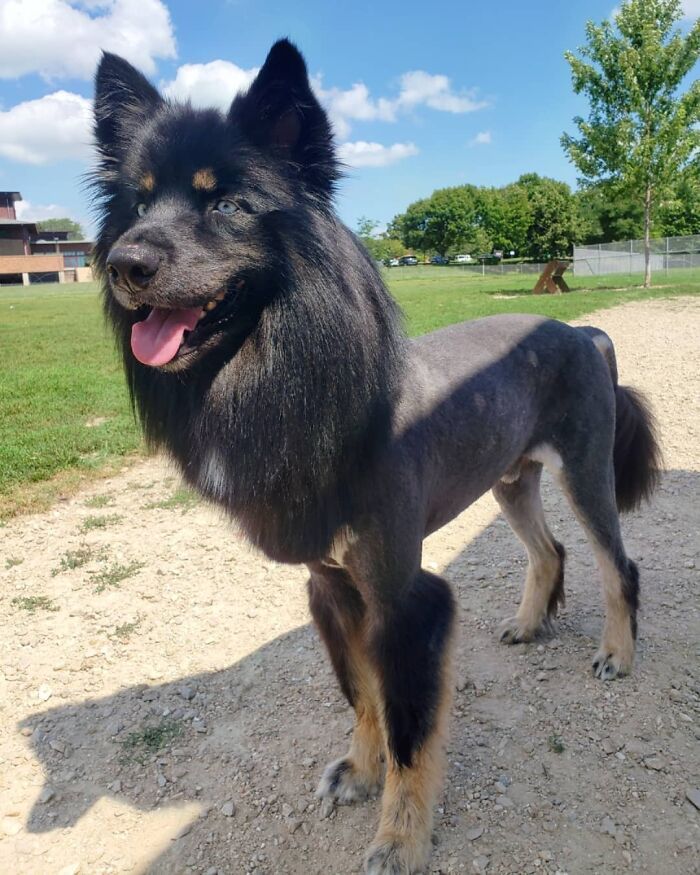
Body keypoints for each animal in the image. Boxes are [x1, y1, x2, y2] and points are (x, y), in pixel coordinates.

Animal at [93, 41, 660, 875]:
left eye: (225, 204)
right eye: (134, 205)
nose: (124, 264)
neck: (316, 393)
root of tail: (585, 330)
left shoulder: (404, 596)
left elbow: (409, 725)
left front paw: (401, 834)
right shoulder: (331, 587)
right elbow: (361, 695)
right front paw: (361, 771)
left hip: (586, 469)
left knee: (616, 564)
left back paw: (617, 653)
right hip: (510, 479)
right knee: (548, 551)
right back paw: (529, 624)